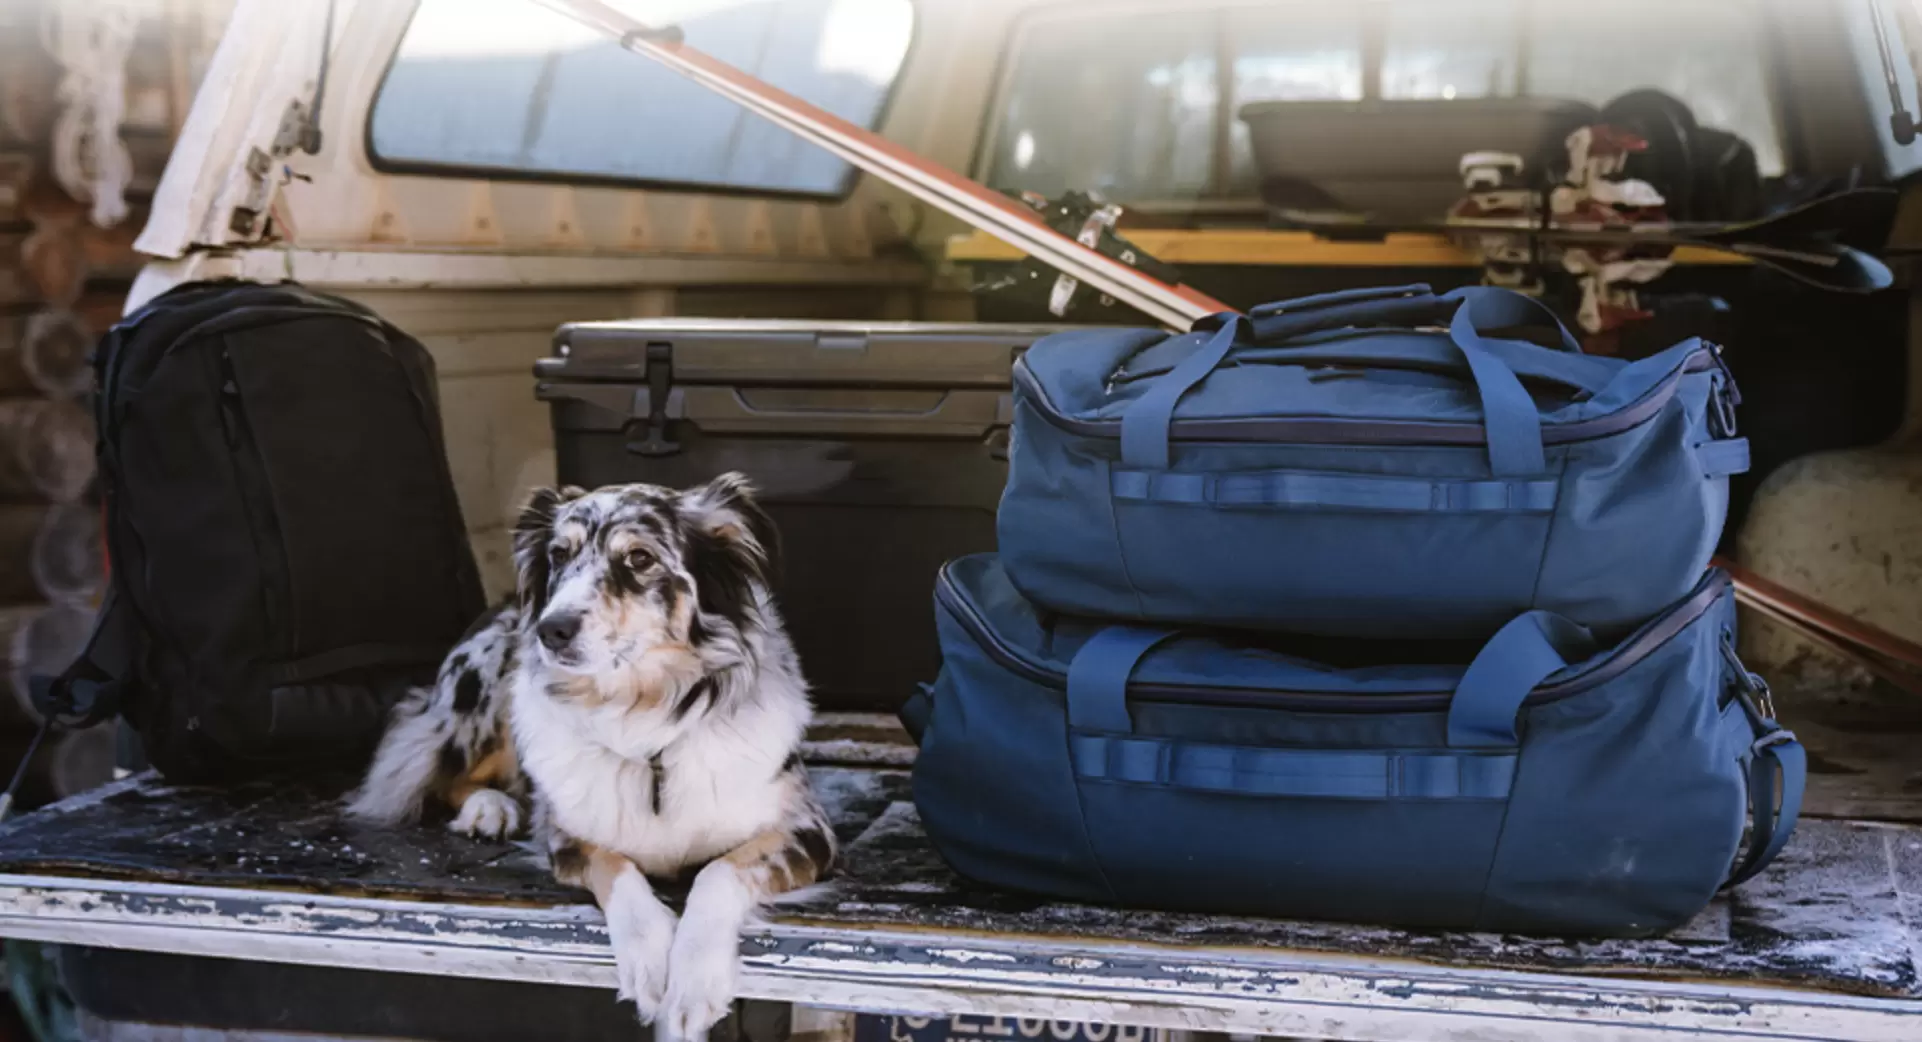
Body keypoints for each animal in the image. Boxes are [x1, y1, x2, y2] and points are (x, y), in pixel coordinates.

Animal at [345, 478, 834, 1038]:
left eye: (640, 558)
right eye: (559, 554)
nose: (551, 629)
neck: (647, 726)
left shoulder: (806, 829)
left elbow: (718, 872)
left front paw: (694, 980)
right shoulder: (568, 834)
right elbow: (616, 867)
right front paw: (650, 960)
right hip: (485, 673)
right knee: (448, 771)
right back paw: (490, 808)